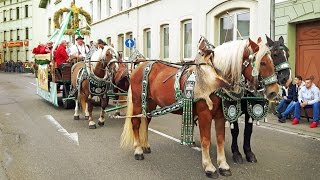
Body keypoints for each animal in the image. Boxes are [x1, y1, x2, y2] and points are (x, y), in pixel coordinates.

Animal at [230, 35, 292, 165]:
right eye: (275, 54)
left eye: (288, 54)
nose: (286, 79)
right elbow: (235, 130)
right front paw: (236, 153)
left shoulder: (249, 110)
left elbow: (248, 131)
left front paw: (249, 153)